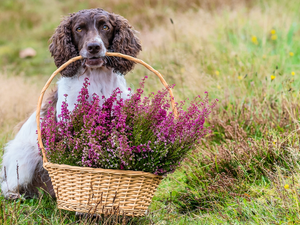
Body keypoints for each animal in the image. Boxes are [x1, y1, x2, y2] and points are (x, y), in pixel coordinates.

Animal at [0, 8, 142, 199]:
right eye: (79, 29)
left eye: (105, 27)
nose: (93, 47)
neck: (97, 79)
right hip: (25, 157)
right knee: (8, 186)